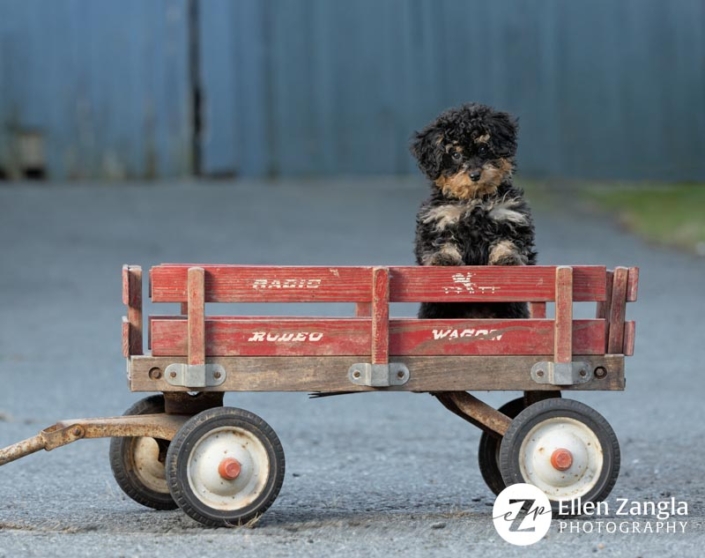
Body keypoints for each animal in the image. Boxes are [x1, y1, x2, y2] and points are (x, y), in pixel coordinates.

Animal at [410, 103, 536, 322]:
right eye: (455, 154)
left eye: (484, 148)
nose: (475, 174)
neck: (475, 199)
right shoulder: (439, 219)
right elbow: (440, 244)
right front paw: (443, 260)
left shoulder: (510, 216)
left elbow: (510, 242)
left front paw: (508, 259)